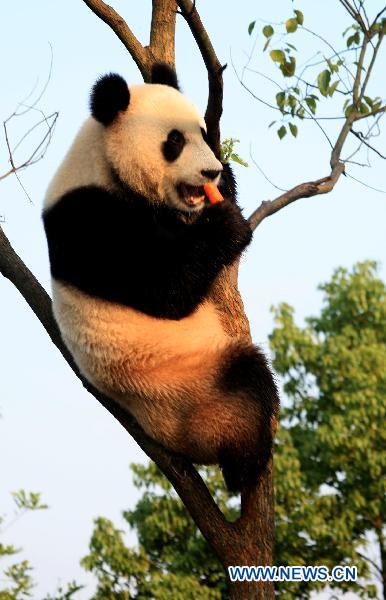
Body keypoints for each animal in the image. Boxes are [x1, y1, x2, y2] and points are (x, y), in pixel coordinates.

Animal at [43, 63, 278, 492]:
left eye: (203, 133)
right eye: (174, 141)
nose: (210, 171)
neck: (102, 160)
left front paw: (226, 181)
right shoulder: (86, 219)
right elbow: (165, 290)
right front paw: (225, 223)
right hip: (189, 393)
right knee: (246, 384)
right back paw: (245, 464)